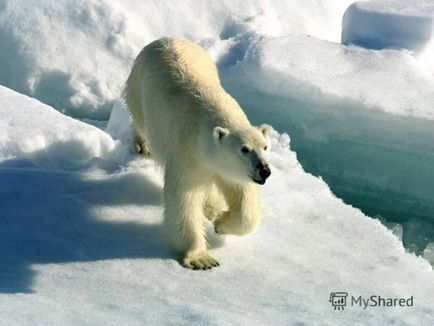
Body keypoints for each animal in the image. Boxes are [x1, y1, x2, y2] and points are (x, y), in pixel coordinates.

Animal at [124, 37, 270, 270]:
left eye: (265, 146)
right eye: (244, 149)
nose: (264, 170)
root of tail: (165, 38)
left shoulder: (229, 168)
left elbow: (243, 198)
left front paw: (220, 222)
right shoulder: (187, 154)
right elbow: (184, 197)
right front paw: (201, 259)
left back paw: (211, 208)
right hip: (138, 88)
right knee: (140, 120)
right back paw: (142, 144)